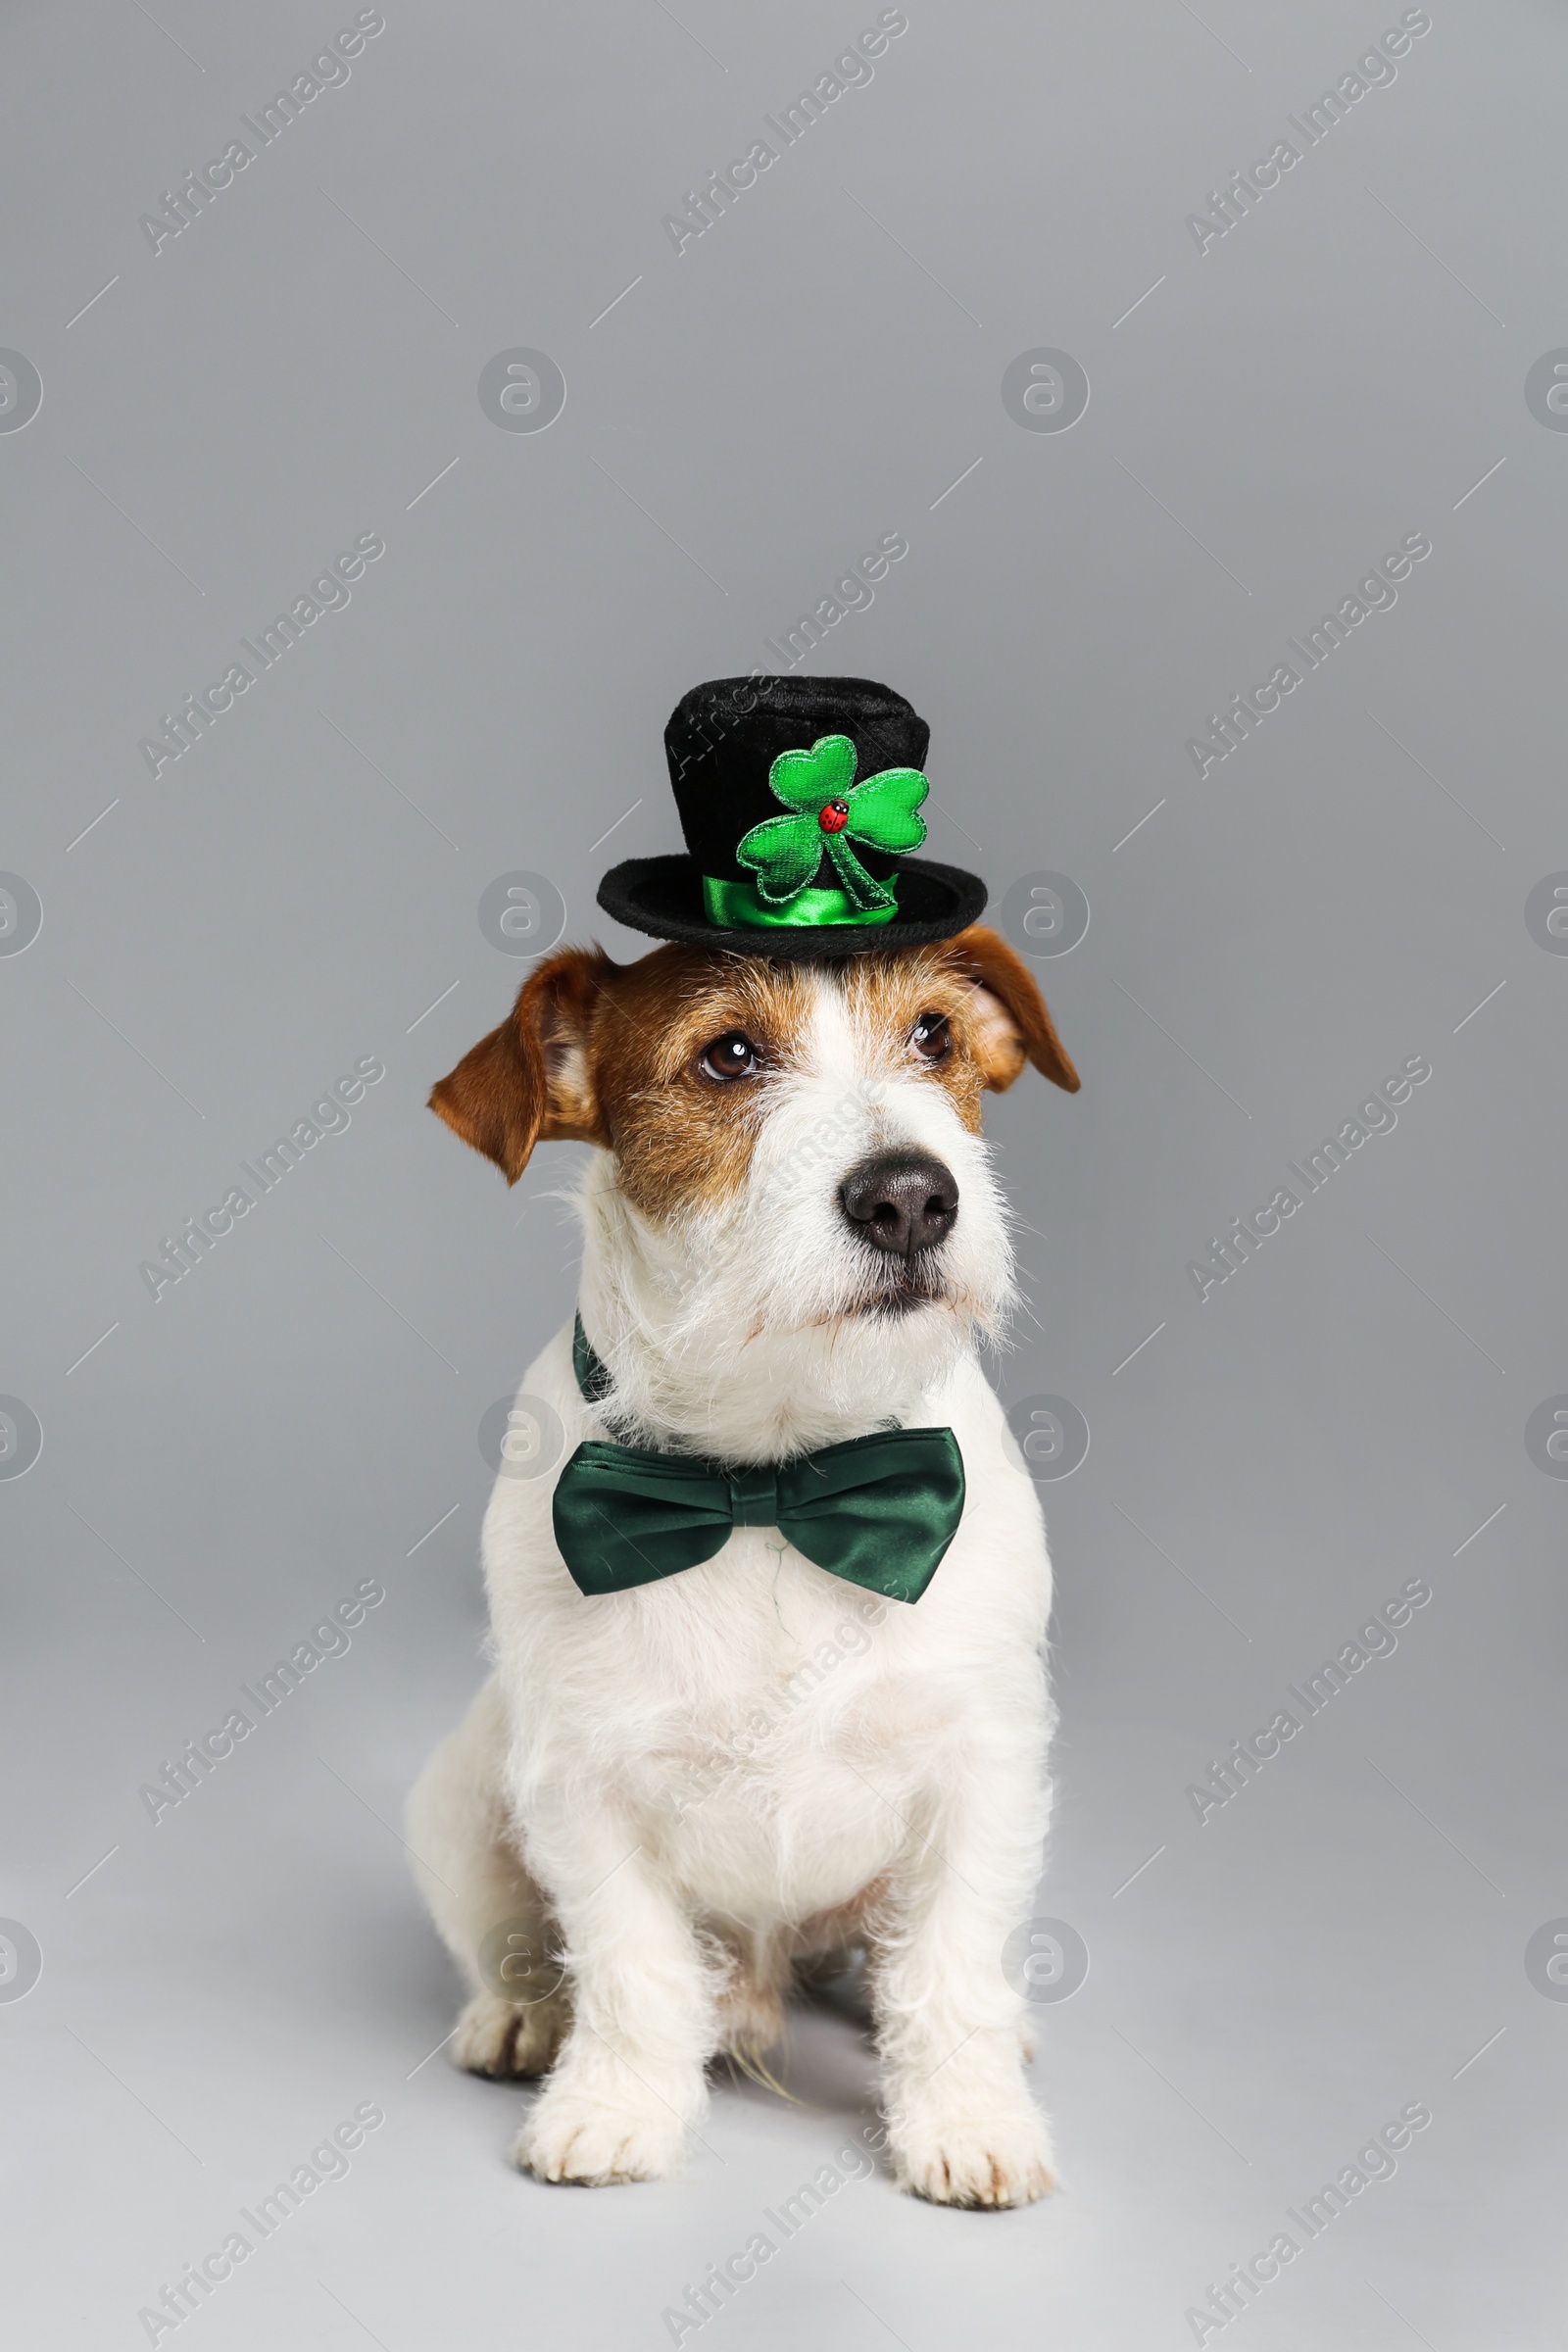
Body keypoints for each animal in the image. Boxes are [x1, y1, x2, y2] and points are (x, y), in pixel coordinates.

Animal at [404, 907, 1081, 2191]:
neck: (774, 1482)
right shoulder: (583, 1782)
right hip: (462, 1795)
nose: (910, 1196)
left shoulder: (980, 1766)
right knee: (517, 1938)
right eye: (727, 1058)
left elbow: (948, 1962)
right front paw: (616, 2104)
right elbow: (628, 1965)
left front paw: (966, 2119)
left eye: (933, 1035)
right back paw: (523, 2016)